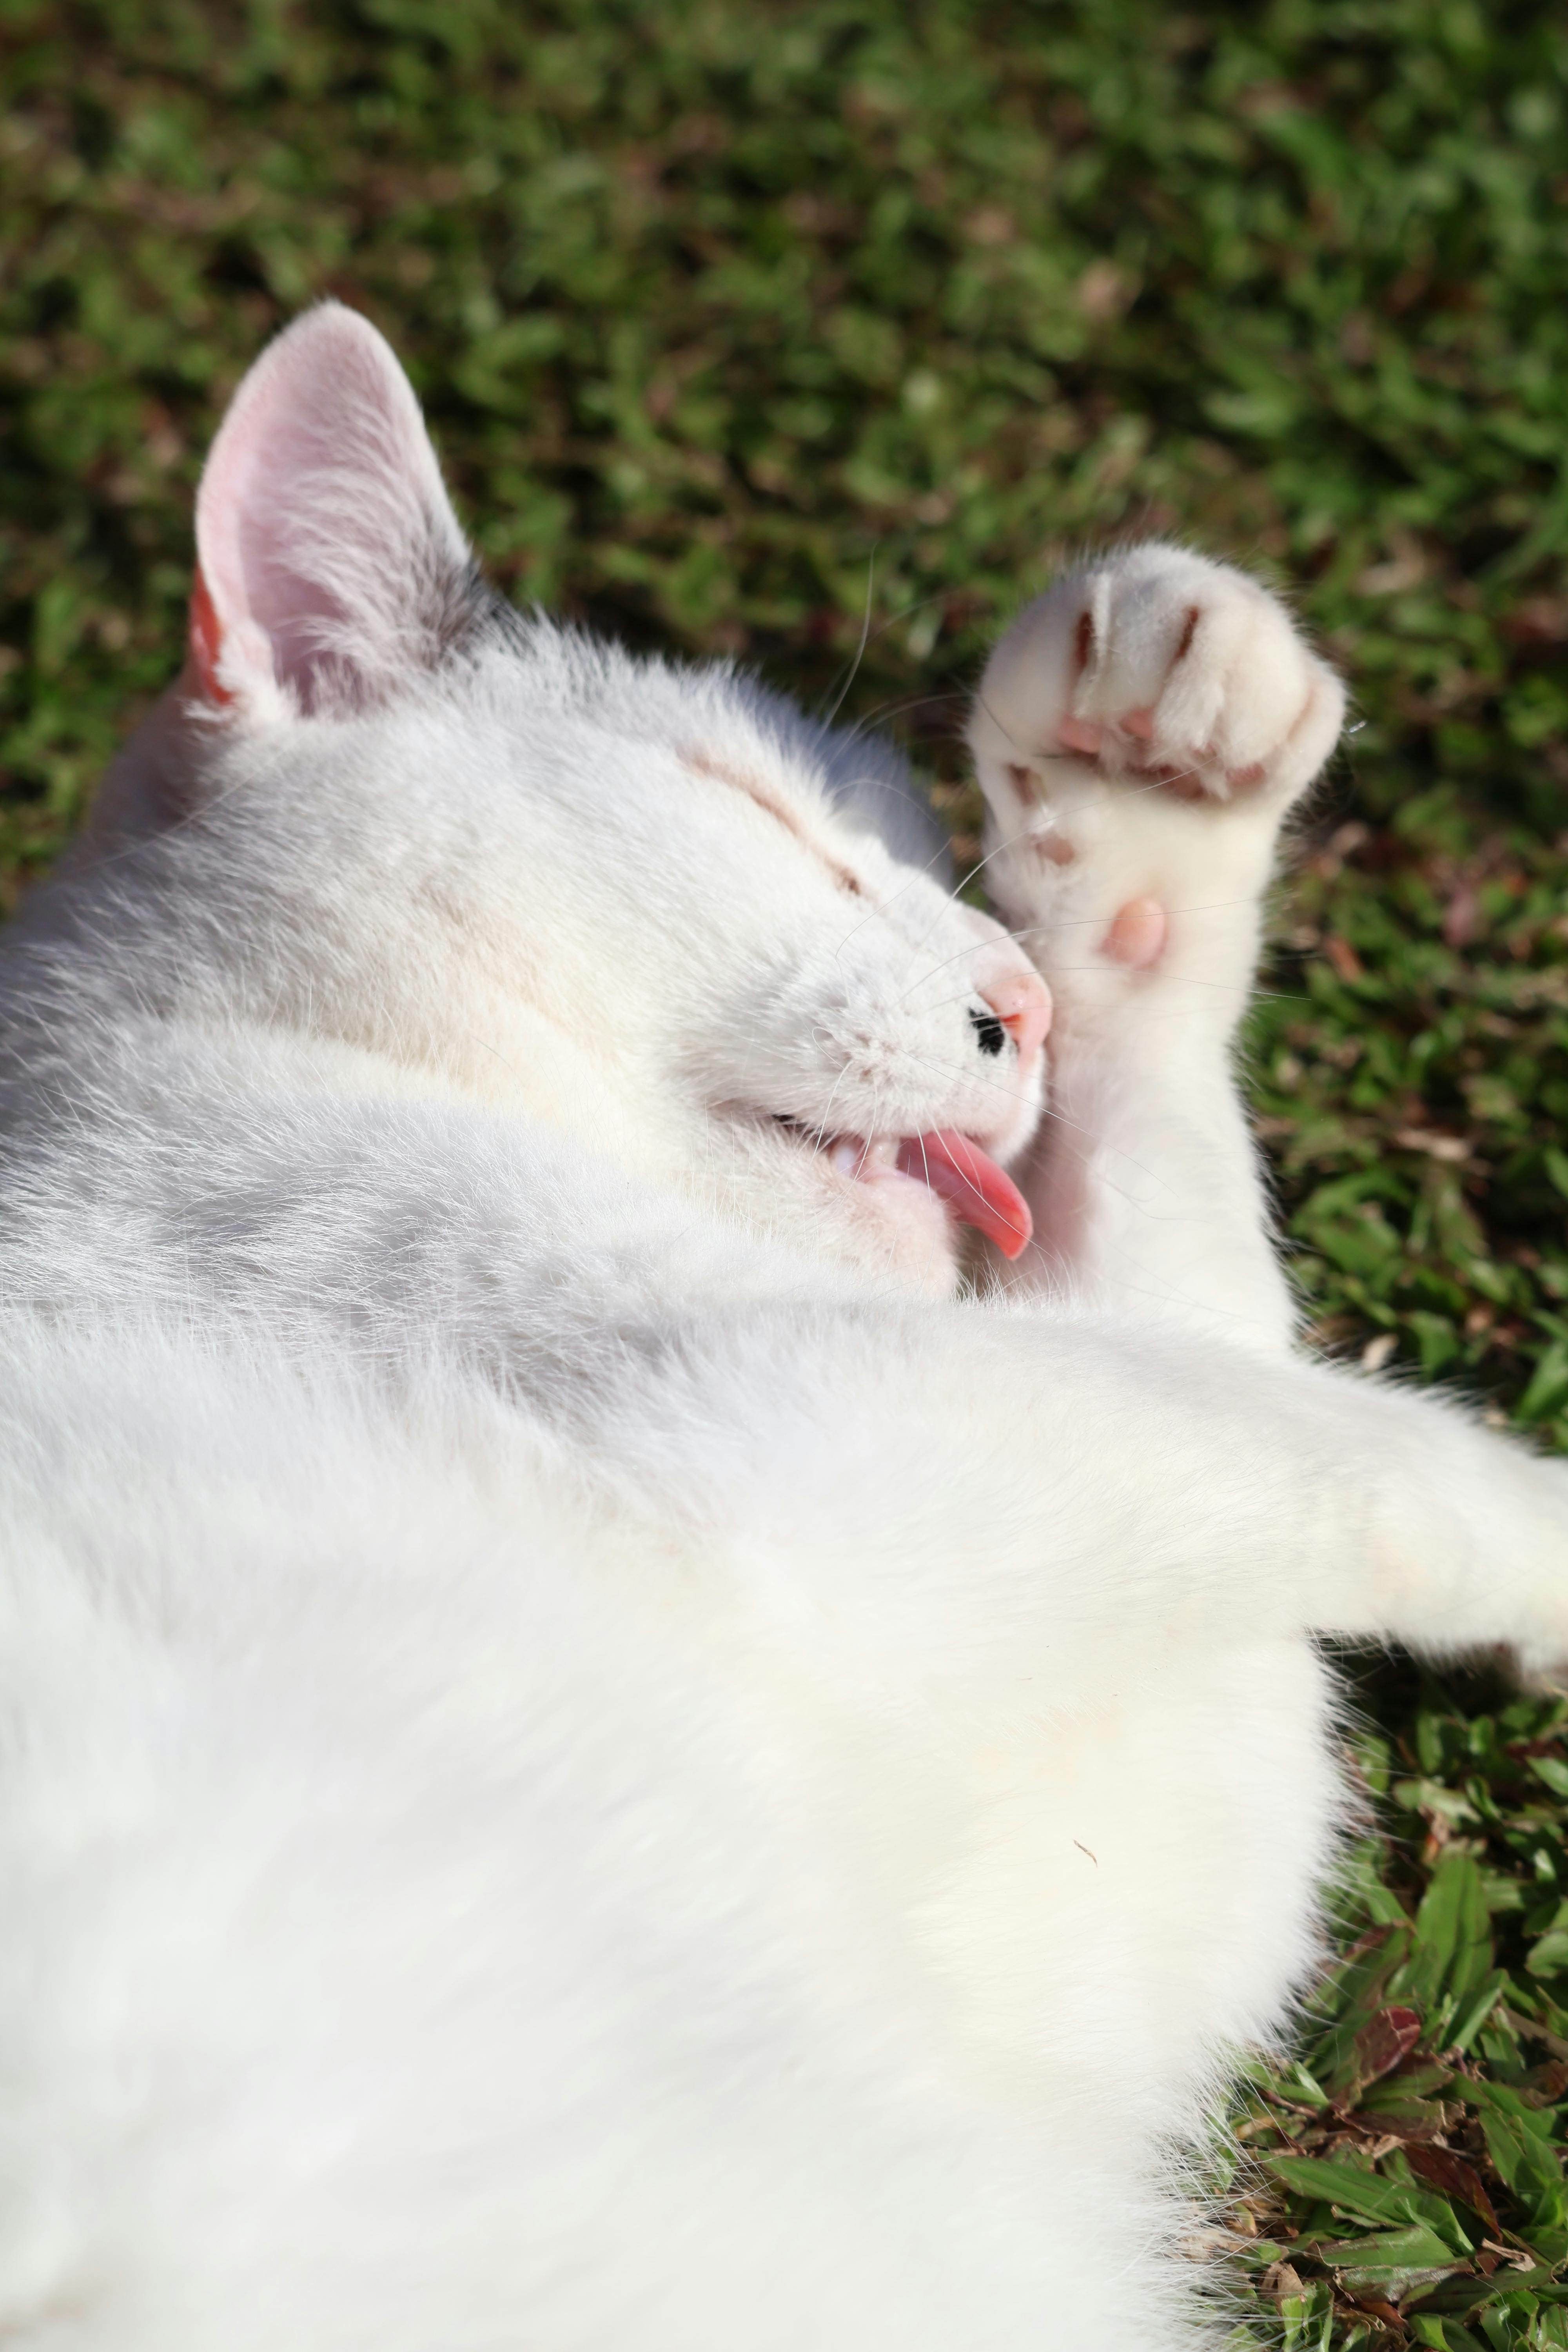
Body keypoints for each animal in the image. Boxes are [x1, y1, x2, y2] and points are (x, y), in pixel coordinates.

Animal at [3, 303, 1568, 2343]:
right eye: (753, 812)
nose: (1013, 1006)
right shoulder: (828, 1432)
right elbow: (1308, 1426)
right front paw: (1549, 1550)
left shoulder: (1101, 1835)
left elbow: (1196, 1270)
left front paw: (1141, 817)